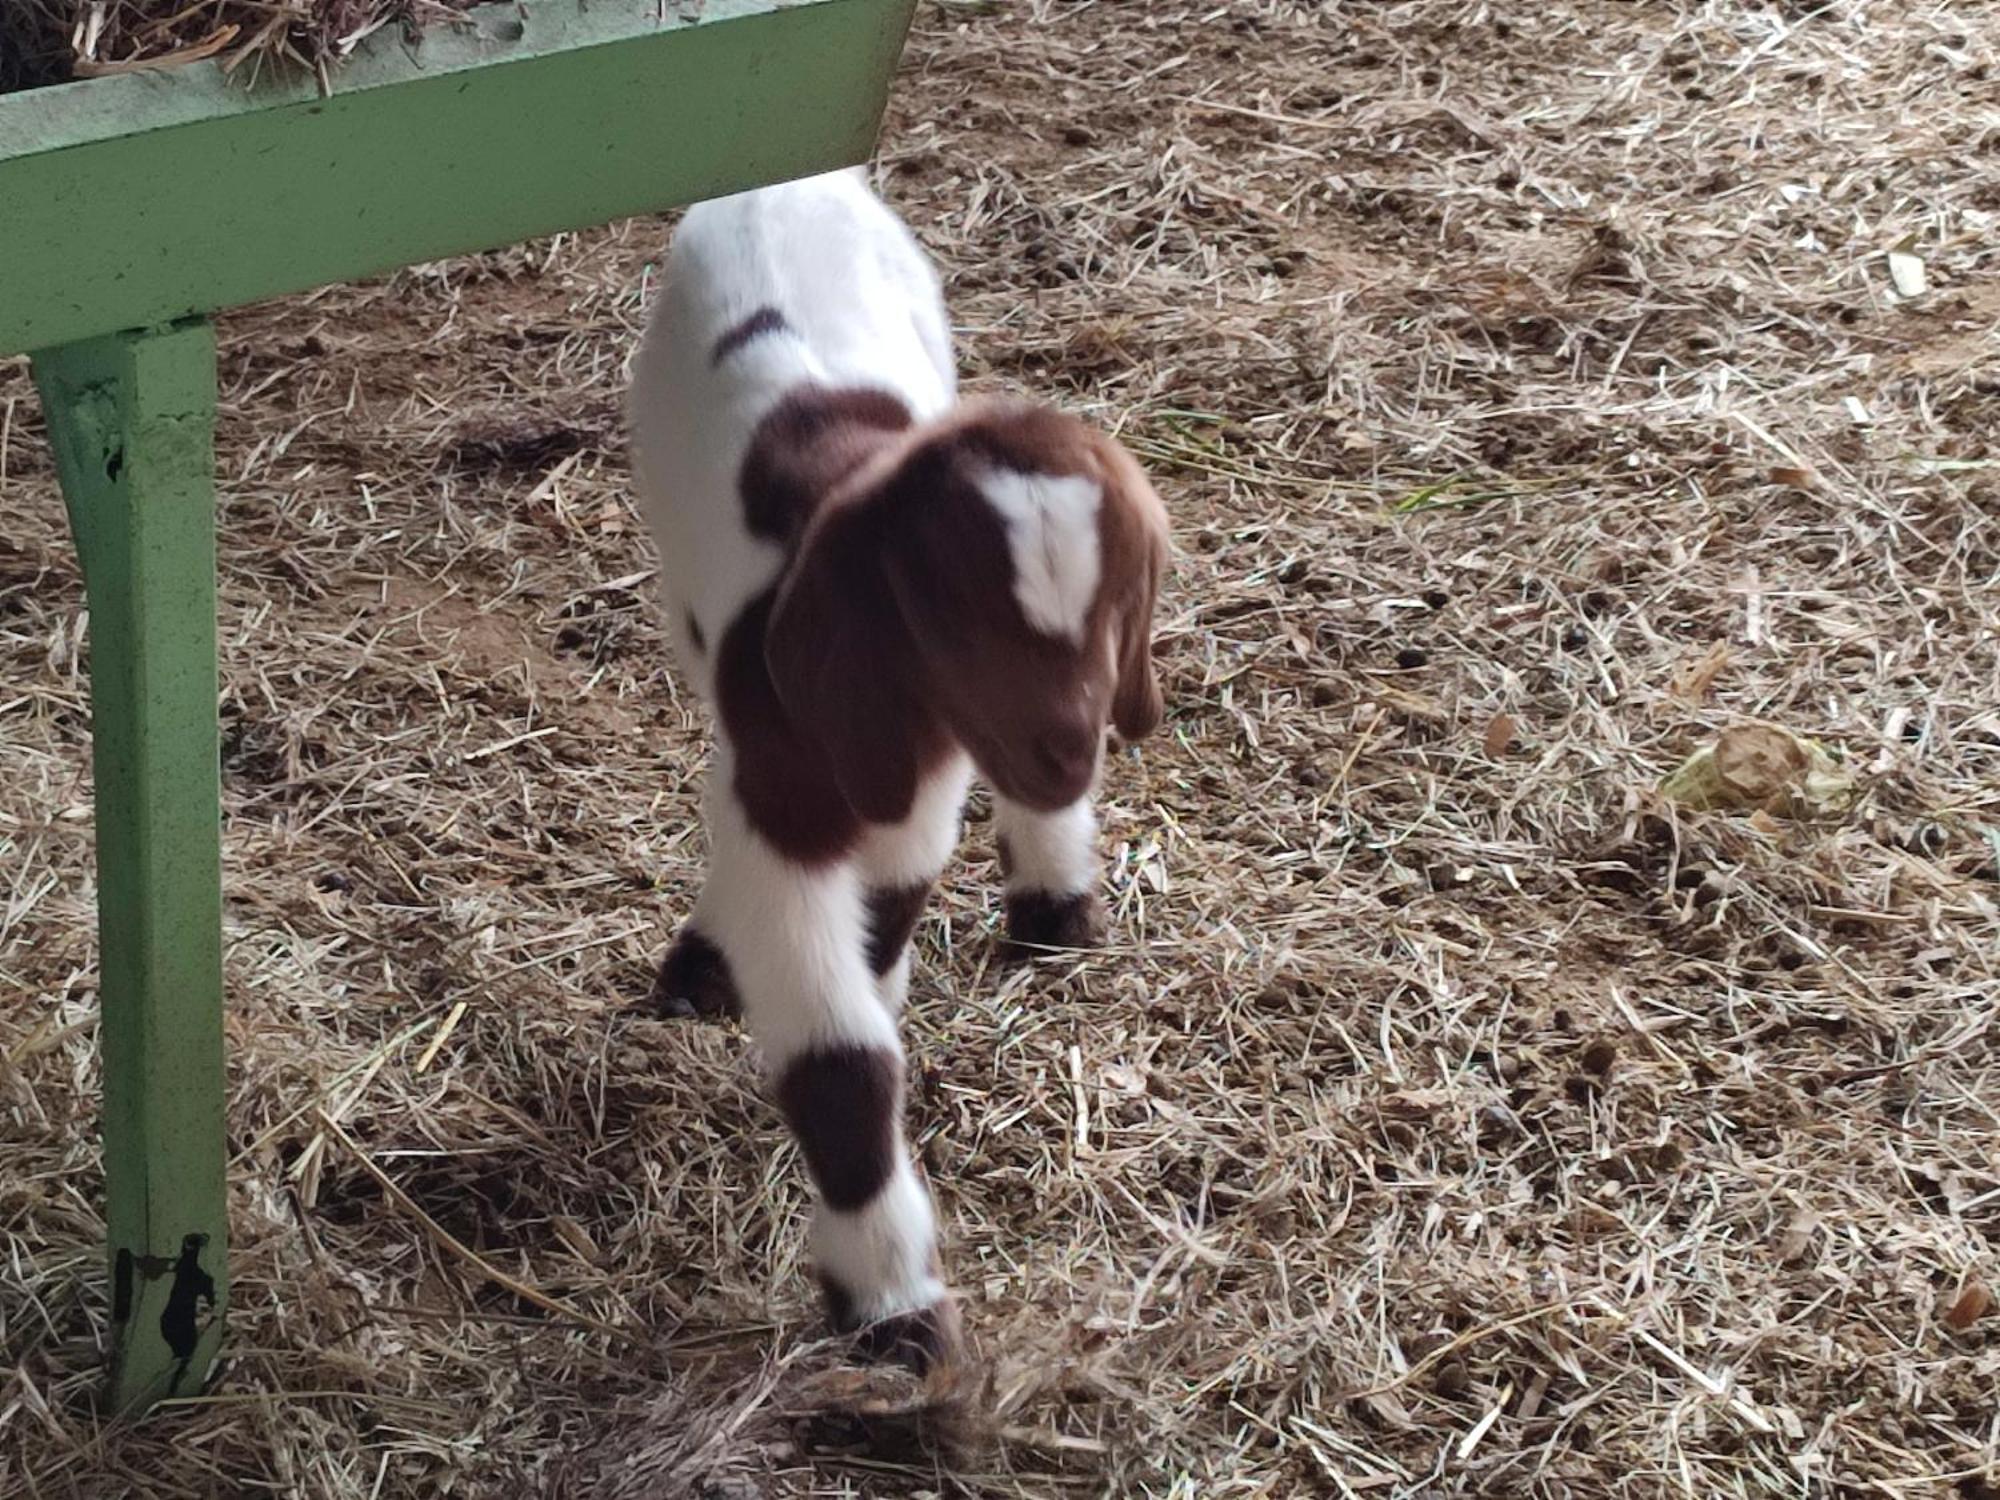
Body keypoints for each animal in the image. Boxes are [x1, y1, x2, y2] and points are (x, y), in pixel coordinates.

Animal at [616, 167, 1168, 1376]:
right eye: (951, 618)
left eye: (1121, 602)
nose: (1068, 749)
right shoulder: (789, 797)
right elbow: (841, 1057)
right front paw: (893, 1306)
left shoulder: (923, 791)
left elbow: (882, 941)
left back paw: (1052, 896)